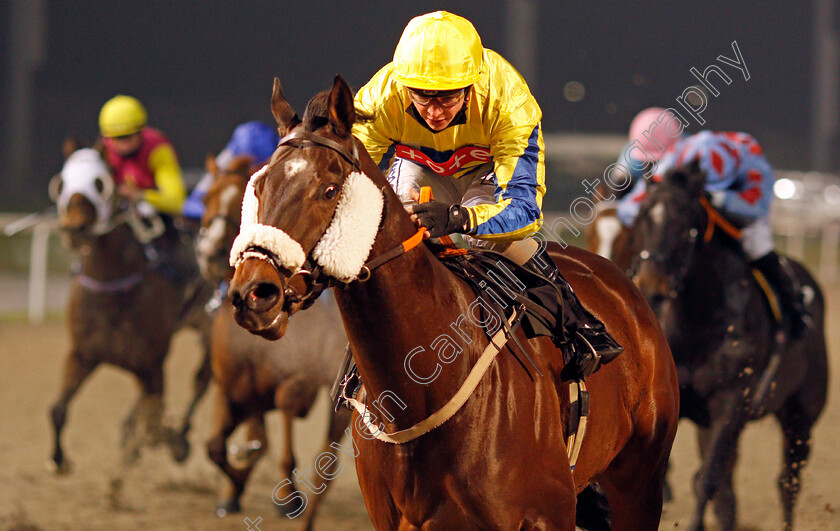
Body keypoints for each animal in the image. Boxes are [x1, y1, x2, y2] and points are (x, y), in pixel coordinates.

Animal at [48, 141, 215, 474]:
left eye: (100, 183)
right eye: (61, 182)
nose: (75, 229)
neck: (112, 287)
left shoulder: (151, 362)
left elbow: (156, 421)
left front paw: (172, 439)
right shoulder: (83, 354)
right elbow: (58, 408)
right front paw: (58, 459)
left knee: (201, 379)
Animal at [197, 156, 352, 528]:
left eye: (242, 197)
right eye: (207, 197)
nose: (209, 253)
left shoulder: (295, 385)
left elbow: (281, 447)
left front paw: (288, 497)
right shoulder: (234, 386)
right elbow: (218, 446)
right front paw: (234, 488)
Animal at [226, 77, 680, 528]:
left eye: (329, 190)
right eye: (259, 187)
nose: (254, 292)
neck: (424, 386)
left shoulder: (549, 514)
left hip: (639, 483)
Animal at [624, 163, 828, 531]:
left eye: (685, 224)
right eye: (644, 216)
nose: (650, 283)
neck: (698, 327)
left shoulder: (731, 403)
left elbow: (706, 481)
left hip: (801, 415)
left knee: (787, 482)